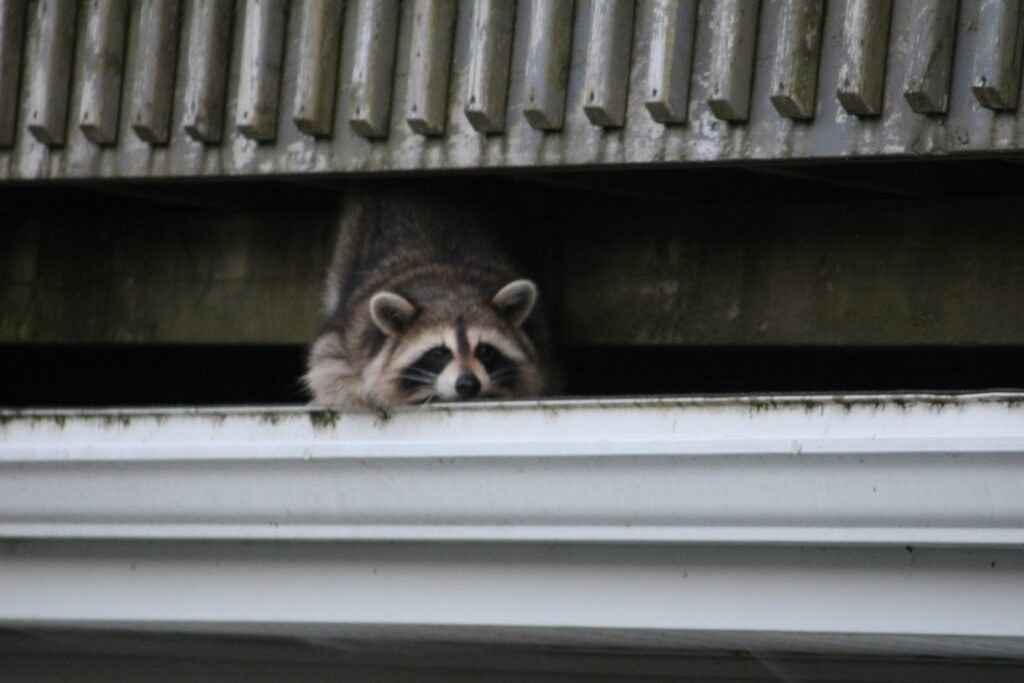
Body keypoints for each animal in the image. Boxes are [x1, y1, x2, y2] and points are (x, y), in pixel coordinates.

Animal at [305, 183, 556, 408]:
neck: (451, 286)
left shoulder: (541, 339)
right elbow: (328, 369)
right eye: (438, 353)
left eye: (484, 350)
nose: (468, 384)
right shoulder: (351, 336)